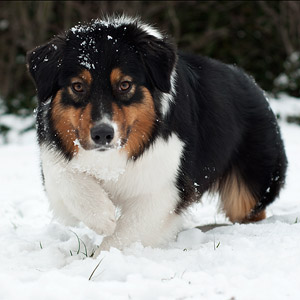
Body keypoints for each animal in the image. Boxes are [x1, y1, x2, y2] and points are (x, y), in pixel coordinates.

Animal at [27, 15, 288, 255]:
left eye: (125, 85)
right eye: (78, 86)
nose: (102, 134)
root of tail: (252, 83)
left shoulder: (162, 190)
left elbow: (123, 235)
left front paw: (98, 260)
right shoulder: (54, 159)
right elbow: (66, 177)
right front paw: (102, 217)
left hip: (250, 188)